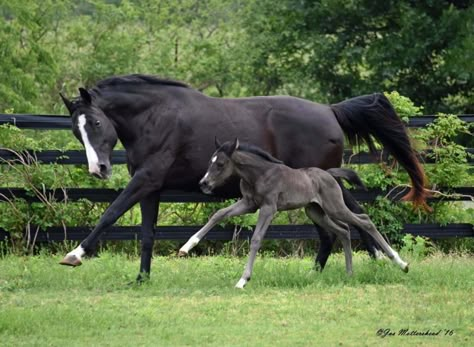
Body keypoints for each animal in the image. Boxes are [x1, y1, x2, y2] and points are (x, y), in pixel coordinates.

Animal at [180, 140, 410, 290]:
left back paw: (401, 263)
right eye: (210, 162)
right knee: (344, 230)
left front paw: (243, 280)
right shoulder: (249, 204)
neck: (260, 174)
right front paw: (186, 247)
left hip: (334, 207)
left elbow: (256, 239)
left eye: (220, 164)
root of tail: (329, 174)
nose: (204, 184)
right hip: (315, 211)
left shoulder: (268, 208)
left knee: (364, 221)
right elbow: (218, 214)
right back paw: (349, 273)